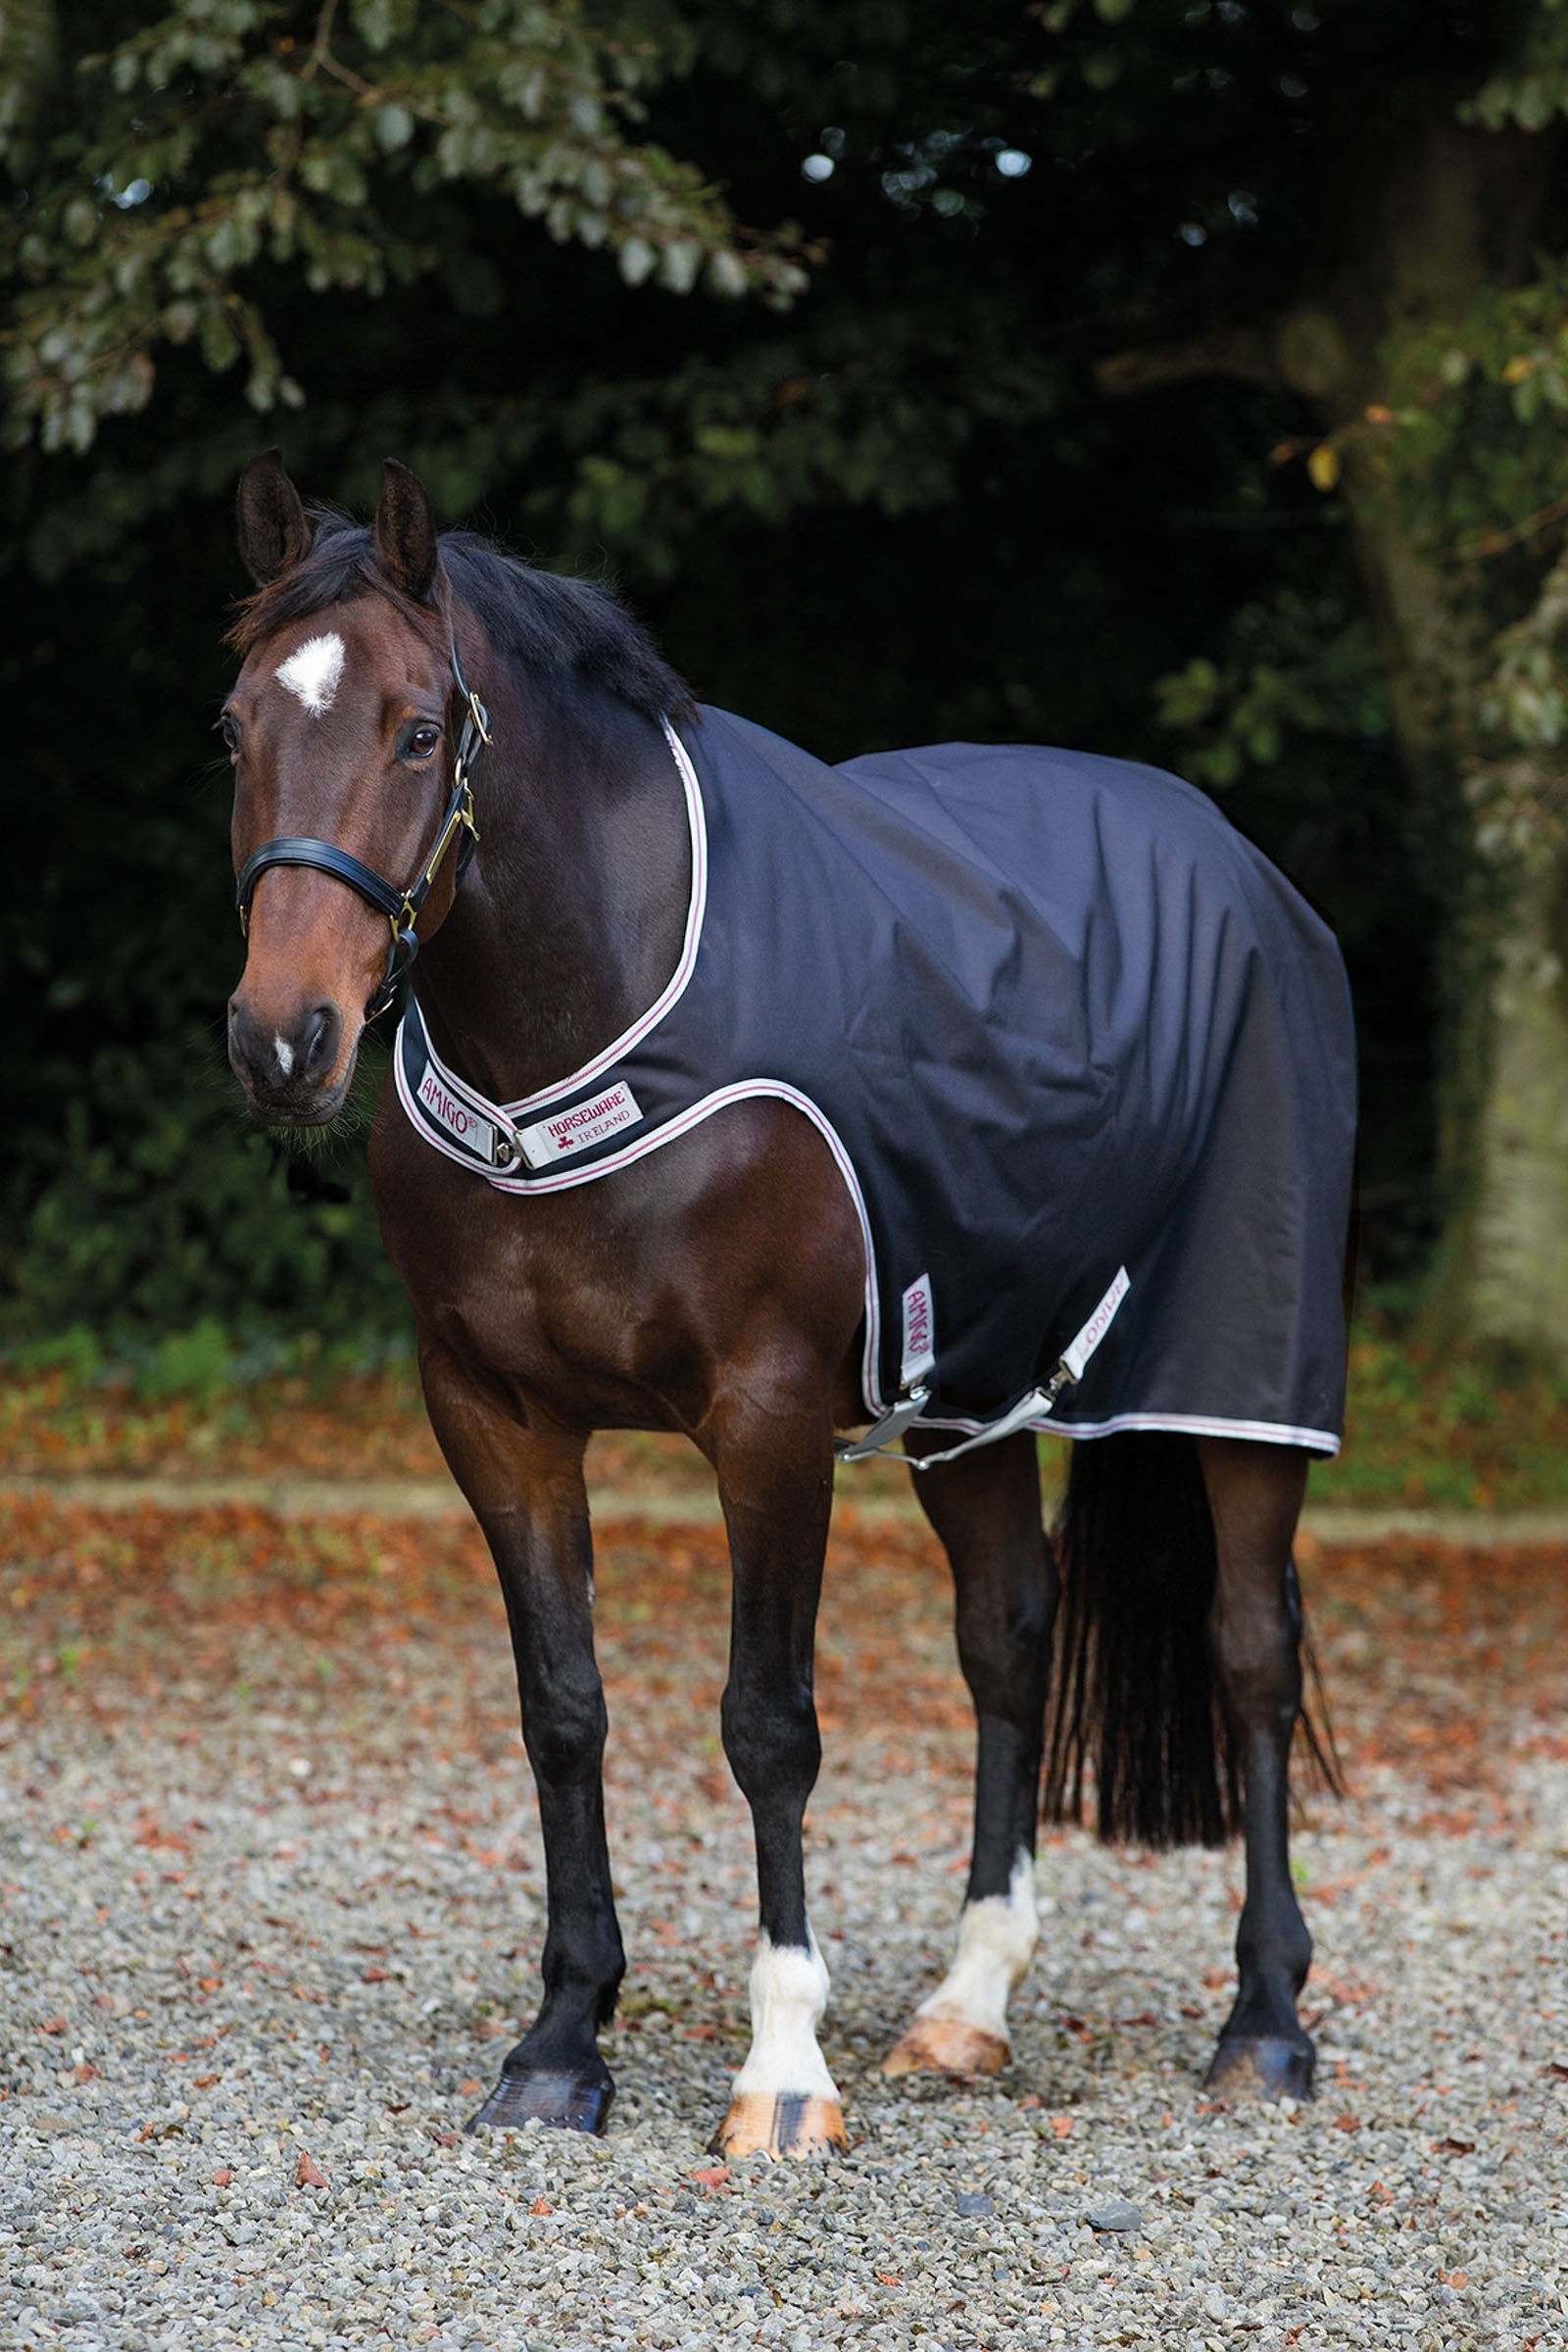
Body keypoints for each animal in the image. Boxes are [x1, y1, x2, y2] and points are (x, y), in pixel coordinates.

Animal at [222, 451, 1355, 2159]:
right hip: (970, 1394)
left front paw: (782, 2071)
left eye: (418, 729)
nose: (284, 1040)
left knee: (1251, 1652)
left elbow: (767, 1724)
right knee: (1009, 1636)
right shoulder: (493, 1416)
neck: (600, 1023)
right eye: (233, 725)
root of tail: (1240, 860)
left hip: (1241, 1378)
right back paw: (968, 2006)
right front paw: (562, 2043)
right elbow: (563, 1708)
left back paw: (1266, 2022)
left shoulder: (762, 1422)